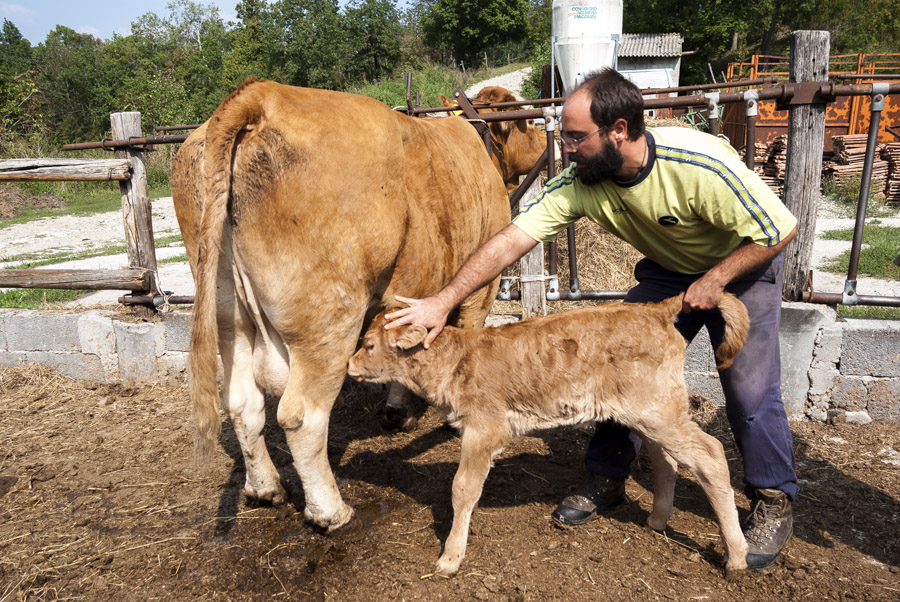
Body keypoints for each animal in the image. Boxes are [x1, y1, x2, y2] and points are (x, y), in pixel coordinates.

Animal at [172, 76, 510, 528]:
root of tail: (261, 94)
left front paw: (397, 411)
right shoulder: (480, 290)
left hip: (230, 315)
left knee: (243, 402)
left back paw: (264, 488)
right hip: (328, 319)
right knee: (302, 416)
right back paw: (330, 511)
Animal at [350, 292, 752, 576]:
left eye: (368, 345)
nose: (350, 364)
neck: (455, 360)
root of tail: (655, 310)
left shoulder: (485, 428)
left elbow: (462, 488)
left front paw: (450, 558)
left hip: (658, 410)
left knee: (711, 453)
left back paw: (736, 556)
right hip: (649, 412)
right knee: (665, 458)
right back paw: (657, 520)